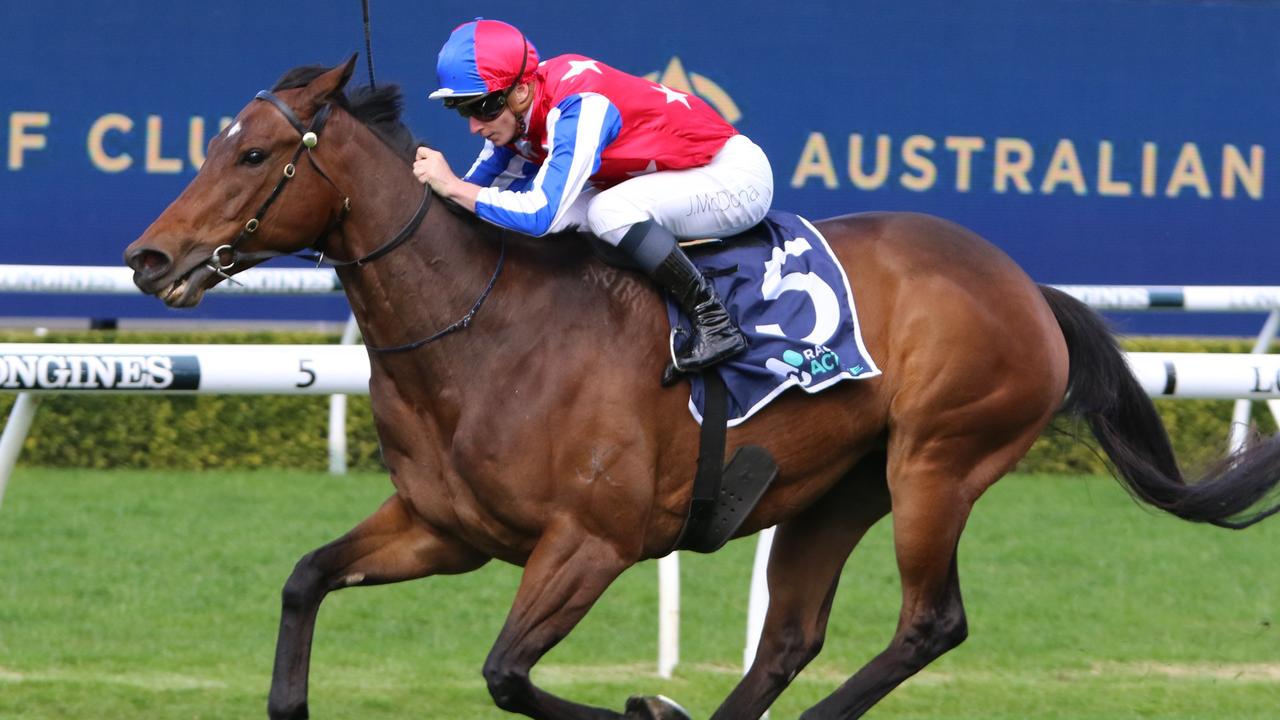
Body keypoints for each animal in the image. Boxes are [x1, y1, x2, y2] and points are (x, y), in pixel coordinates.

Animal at [122, 57, 1280, 717]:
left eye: (255, 155)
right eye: (216, 143)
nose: (147, 258)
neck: (486, 335)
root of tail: (1022, 284)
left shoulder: (591, 543)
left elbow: (506, 674)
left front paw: (650, 708)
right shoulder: (443, 529)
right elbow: (304, 582)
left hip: (937, 463)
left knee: (927, 624)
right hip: (837, 486)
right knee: (790, 637)